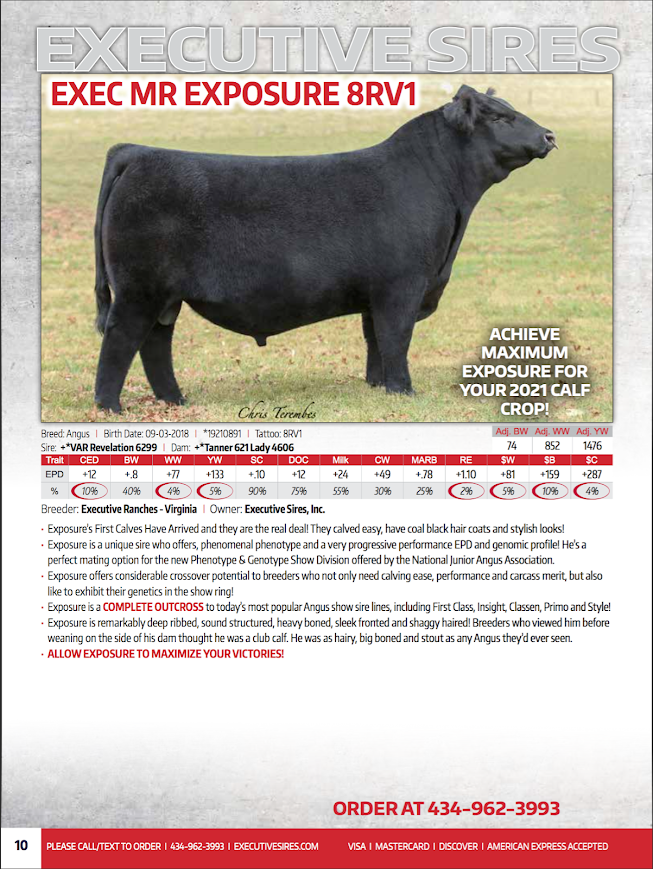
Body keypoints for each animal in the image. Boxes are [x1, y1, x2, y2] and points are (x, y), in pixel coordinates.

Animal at [93, 85, 556, 412]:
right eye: (500, 116)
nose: (549, 135)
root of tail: (137, 152)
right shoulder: (402, 285)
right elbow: (396, 337)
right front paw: (404, 391)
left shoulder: (377, 293)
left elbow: (376, 340)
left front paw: (378, 387)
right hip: (139, 290)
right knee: (121, 339)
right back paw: (110, 407)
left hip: (164, 297)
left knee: (155, 343)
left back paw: (175, 399)